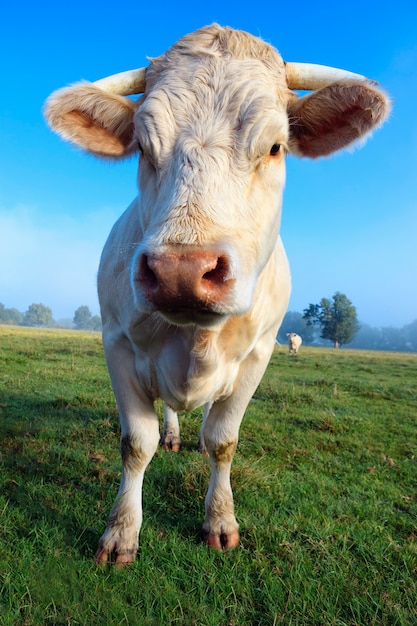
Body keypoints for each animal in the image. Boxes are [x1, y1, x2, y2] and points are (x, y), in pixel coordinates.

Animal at [45, 24, 390, 564]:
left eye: (275, 146)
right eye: (143, 149)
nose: (180, 271)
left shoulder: (259, 354)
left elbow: (223, 441)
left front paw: (220, 521)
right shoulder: (116, 343)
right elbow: (135, 443)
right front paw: (121, 532)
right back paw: (172, 434)